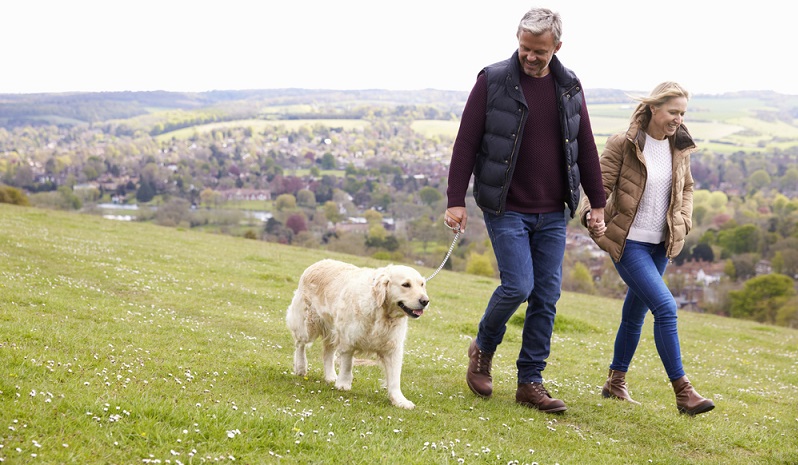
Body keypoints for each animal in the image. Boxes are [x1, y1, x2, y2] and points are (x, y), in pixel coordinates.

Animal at [284, 260, 428, 408]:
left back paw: (330, 376)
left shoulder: (393, 348)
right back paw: (301, 367)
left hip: (332, 330)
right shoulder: (348, 340)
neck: (381, 313)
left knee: (327, 352)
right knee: (300, 344)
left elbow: (394, 378)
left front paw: (400, 400)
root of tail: (318, 263)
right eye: (406, 285)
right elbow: (347, 364)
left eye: (422, 285)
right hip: (308, 325)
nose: (425, 301)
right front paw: (343, 384)